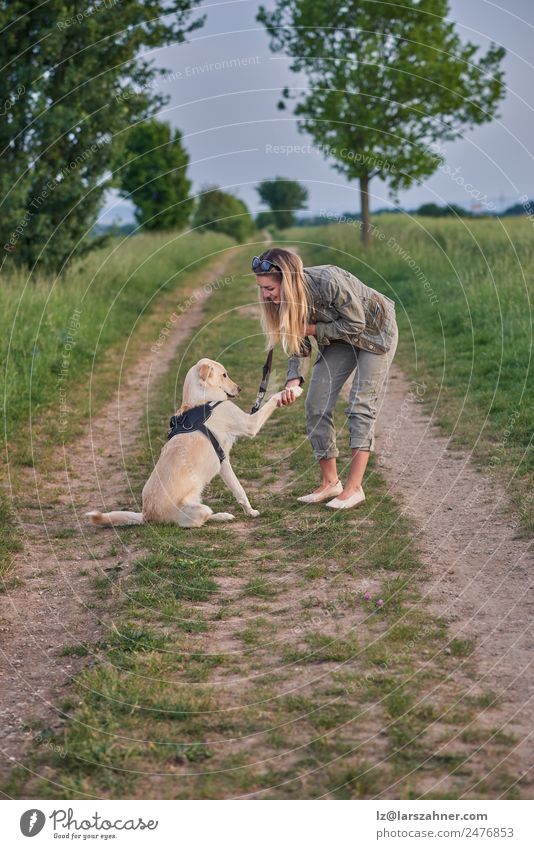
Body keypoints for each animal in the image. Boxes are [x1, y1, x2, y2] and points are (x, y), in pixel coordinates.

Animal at [88, 354, 306, 528]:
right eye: (224, 375)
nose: (240, 389)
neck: (201, 401)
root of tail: (147, 515)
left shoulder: (223, 462)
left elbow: (239, 490)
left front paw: (250, 512)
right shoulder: (249, 424)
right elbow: (272, 399)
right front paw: (292, 391)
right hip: (198, 509)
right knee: (200, 520)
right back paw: (222, 516)